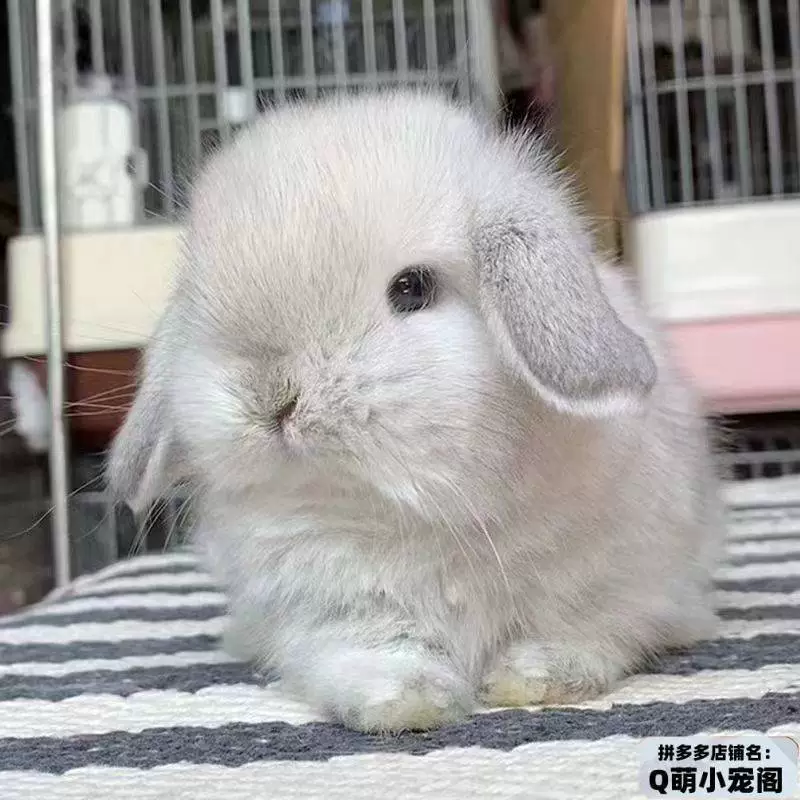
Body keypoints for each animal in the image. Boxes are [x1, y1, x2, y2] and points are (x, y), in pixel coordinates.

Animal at [108, 90, 724, 733]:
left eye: (412, 288)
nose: (272, 397)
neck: (427, 511)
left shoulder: (620, 585)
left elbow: (588, 633)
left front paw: (533, 680)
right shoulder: (334, 615)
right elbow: (379, 654)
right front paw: (408, 705)